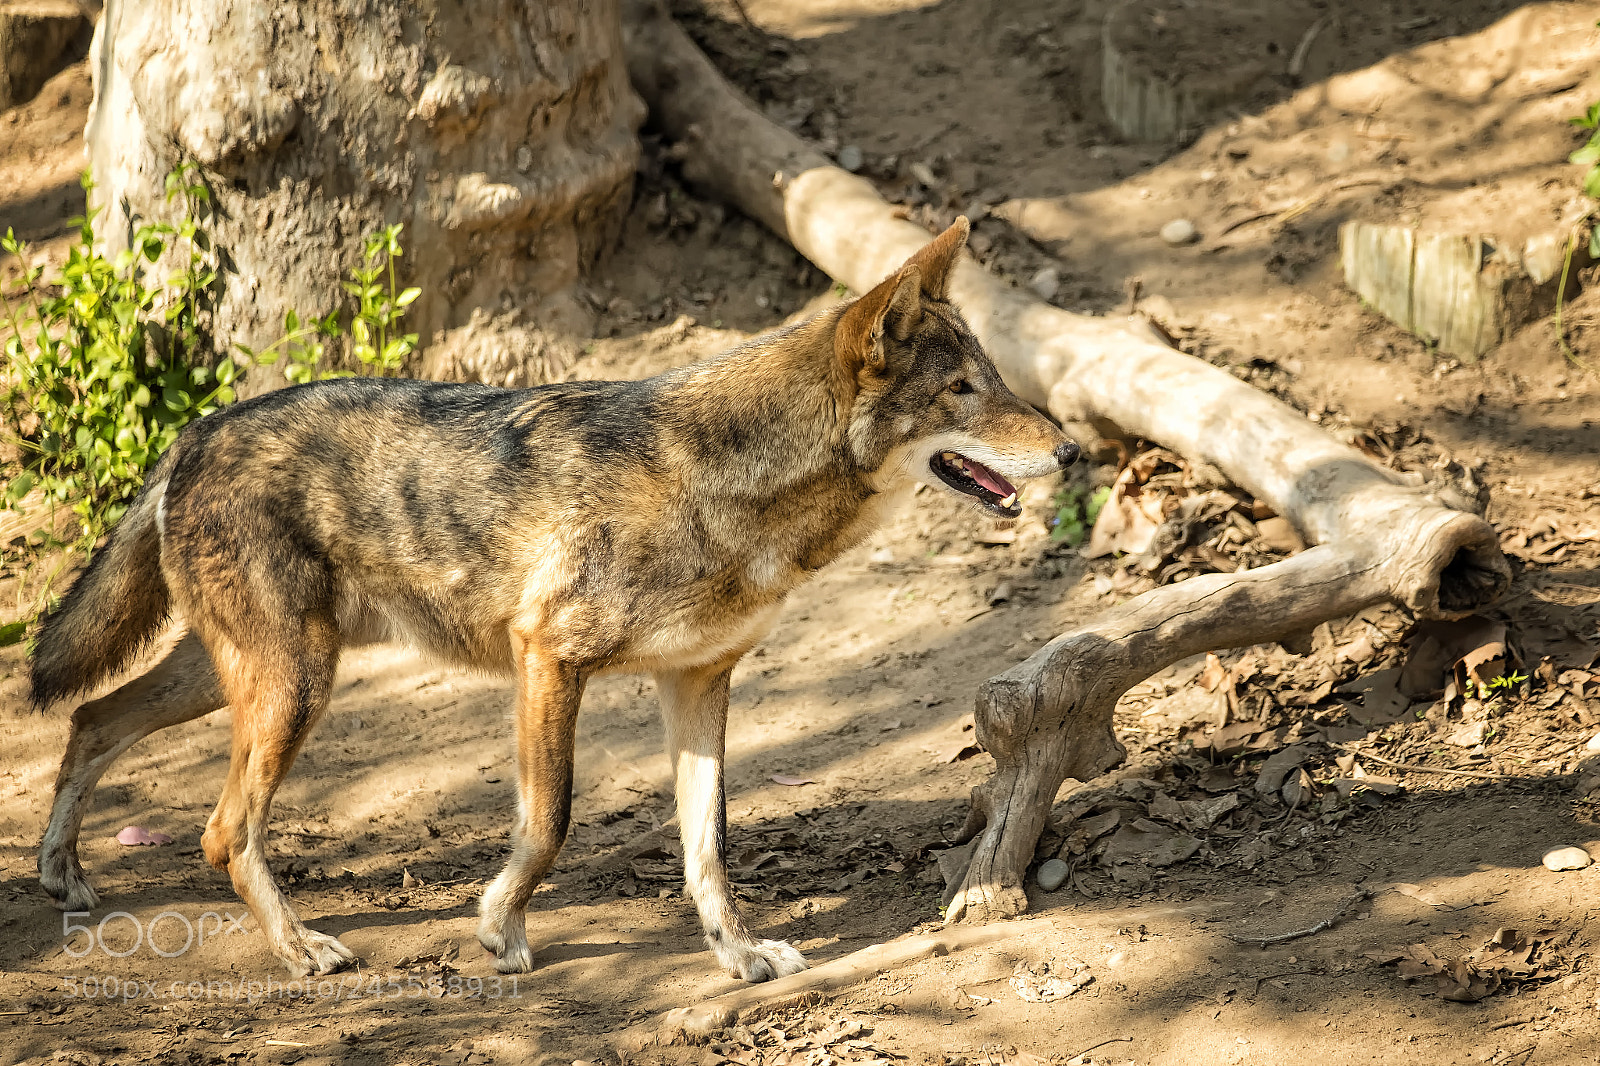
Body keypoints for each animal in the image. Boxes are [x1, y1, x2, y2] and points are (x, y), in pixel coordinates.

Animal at [31, 218, 1078, 981]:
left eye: (994, 381)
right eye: (963, 390)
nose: (1072, 450)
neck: (726, 486)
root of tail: (199, 431)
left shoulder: (699, 683)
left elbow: (708, 847)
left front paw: (738, 956)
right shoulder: (548, 660)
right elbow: (550, 823)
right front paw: (500, 930)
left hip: (241, 681)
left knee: (92, 718)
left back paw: (61, 873)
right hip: (292, 688)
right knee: (221, 829)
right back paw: (298, 951)